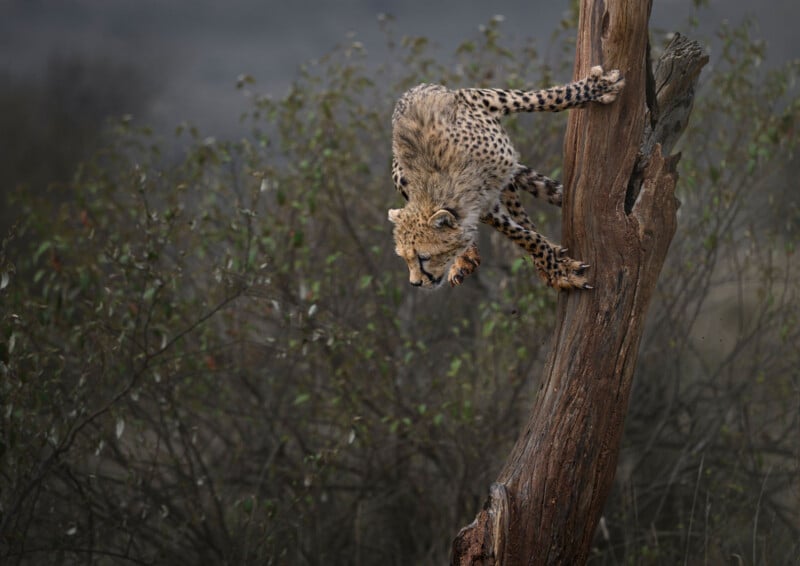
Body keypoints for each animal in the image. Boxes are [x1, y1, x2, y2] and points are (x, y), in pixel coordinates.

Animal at [388, 65, 624, 290]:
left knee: (522, 214)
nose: (415, 283)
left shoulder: (482, 97)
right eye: (405, 258)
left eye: (423, 257)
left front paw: (598, 87)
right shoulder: (485, 208)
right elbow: (524, 236)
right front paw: (557, 270)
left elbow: (548, 98)